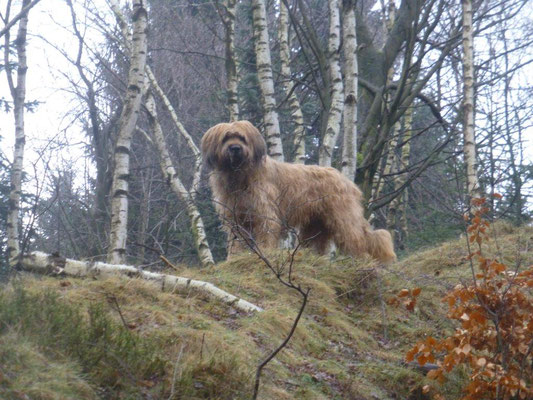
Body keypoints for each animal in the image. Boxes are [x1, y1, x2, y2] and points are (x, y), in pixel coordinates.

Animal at [202, 120, 396, 264]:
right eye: (226, 138)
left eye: (241, 138)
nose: (235, 148)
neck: (240, 176)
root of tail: (347, 181)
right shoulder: (236, 217)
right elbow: (237, 240)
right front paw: (234, 257)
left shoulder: (265, 212)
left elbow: (266, 233)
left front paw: (264, 252)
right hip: (316, 224)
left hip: (342, 218)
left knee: (356, 239)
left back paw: (362, 261)